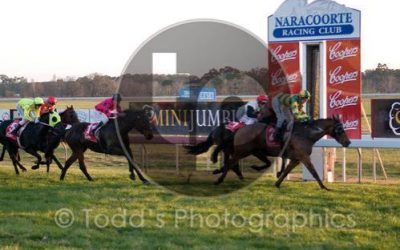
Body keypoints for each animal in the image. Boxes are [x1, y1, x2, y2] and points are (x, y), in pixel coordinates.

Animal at [216, 115, 350, 189]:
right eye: (341, 130)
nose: (348, 142)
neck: (306, 134)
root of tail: (239, 128)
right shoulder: (304, 157)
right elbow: (314, 172)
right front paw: (324, 187)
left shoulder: (296, 159)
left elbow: (286, 171)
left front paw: (277, 183)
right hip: (243, 151)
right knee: (230, 163)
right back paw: (219, 179)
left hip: (250, 151)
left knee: (231, 162)